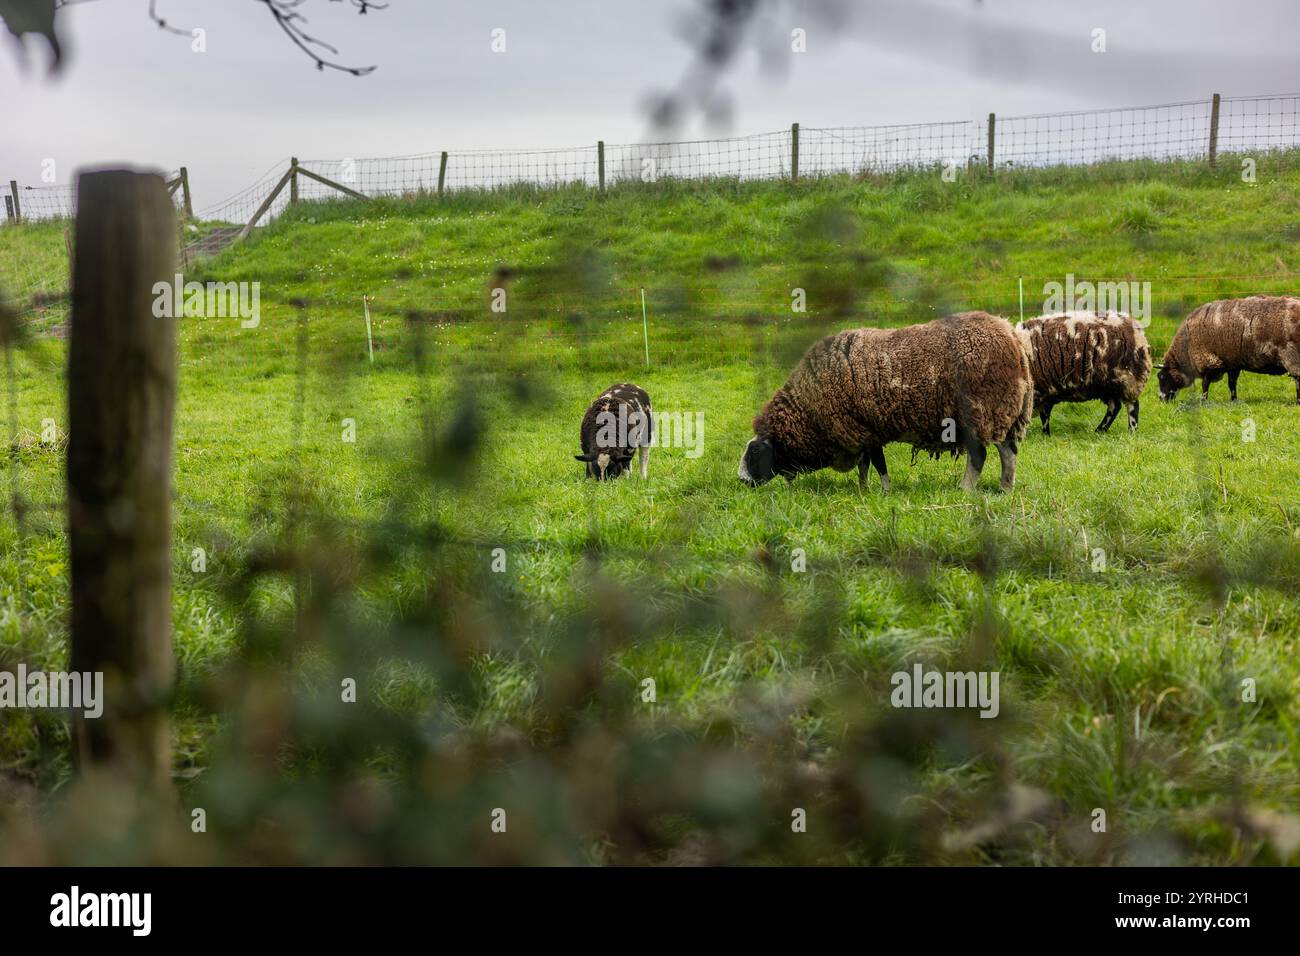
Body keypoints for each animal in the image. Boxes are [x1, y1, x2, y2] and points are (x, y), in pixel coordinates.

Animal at [743, 312, 1034, 494]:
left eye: (755, 453)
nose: (742, 481)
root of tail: (1012, 336)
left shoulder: (867, 430)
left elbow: (877, 463)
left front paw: (883, 491)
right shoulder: (862, 431)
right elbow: (865, 465)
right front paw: (863, 490)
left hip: (981, 411)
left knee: (980, 455)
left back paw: (966, 488)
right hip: (1002, 412)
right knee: (1008, 452)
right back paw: (1005, 488)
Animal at [1019, 312, 1154, 434]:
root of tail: (1137, 330)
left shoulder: (1044, 389)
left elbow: (1044, 415)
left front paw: (1045, 434)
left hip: (1128, 379)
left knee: (1132, 406)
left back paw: (1132, 431)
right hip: (1107, 384)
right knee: (1115, 406)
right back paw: (1100, 431)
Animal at [1159, 297, 1300, 405]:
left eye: (1161, 377)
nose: (1161, 400)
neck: (1185, 349)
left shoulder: (1207, 360)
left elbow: (1205, 385)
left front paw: (1203, 401)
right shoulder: (1232, 363)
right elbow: (1231, 384)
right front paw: (1234, 400)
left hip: (1291, 355)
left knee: (1298, 379)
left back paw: (1298, 402)